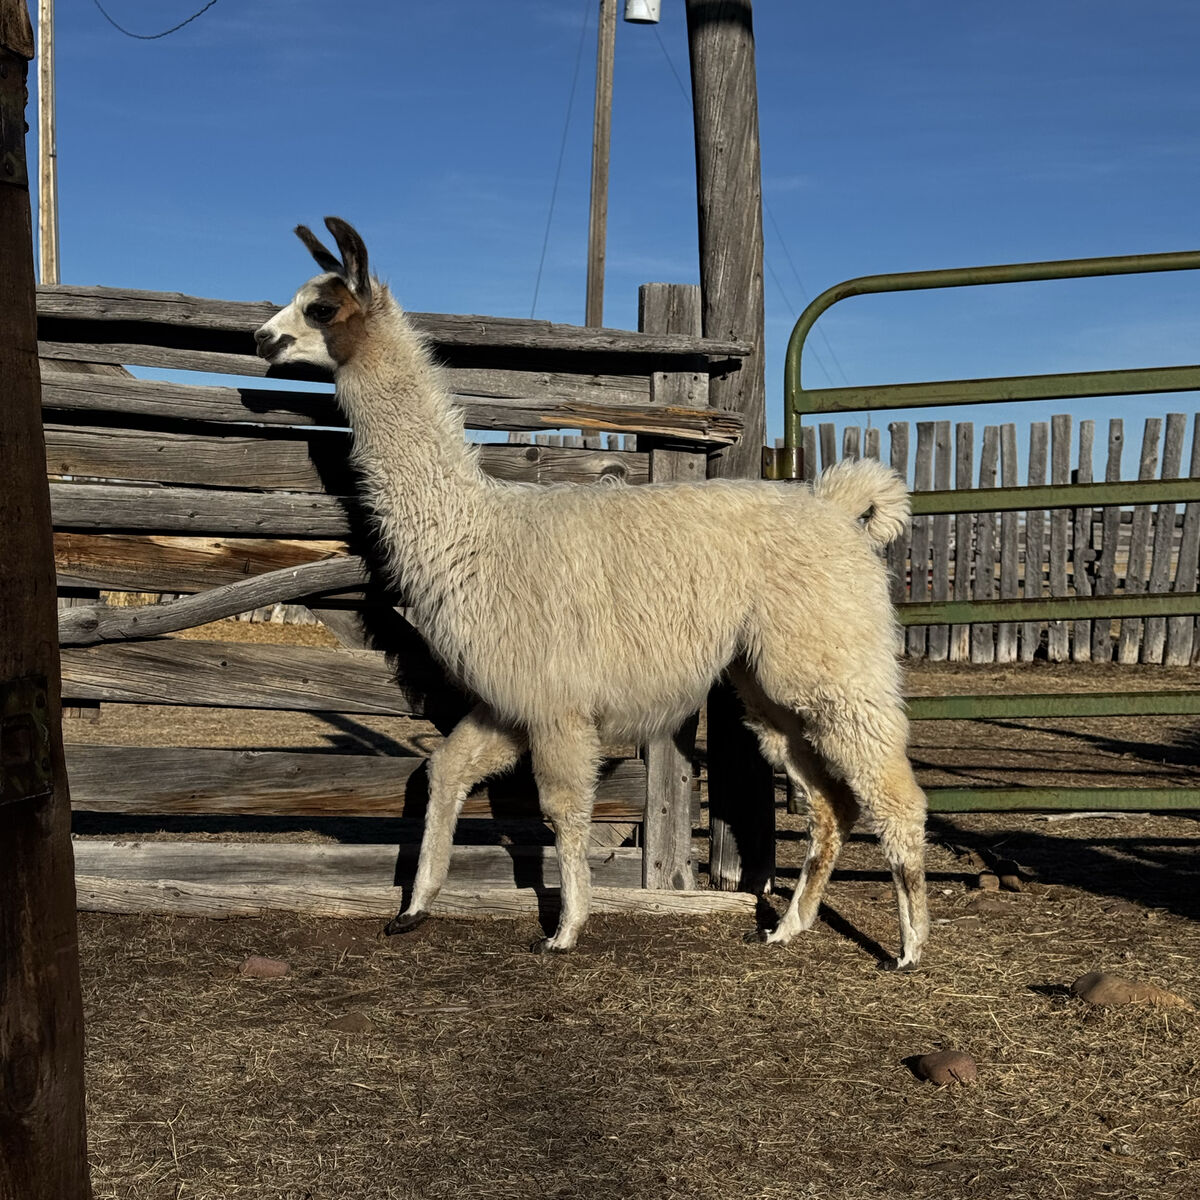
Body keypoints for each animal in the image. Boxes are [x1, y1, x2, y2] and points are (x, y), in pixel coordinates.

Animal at [254, 217, 929, 969]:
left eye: (320, 308)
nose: (261, 339)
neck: (475, 533)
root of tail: (840, 510)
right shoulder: (512, 700)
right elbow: (443, 770)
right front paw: (414, 908)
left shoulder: (558, 705)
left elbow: (563, 813)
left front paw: (566, 927)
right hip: (769, 684)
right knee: (831, 803)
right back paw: (789, 926)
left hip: (832, 661)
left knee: (894, 792)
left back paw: (909, 946)